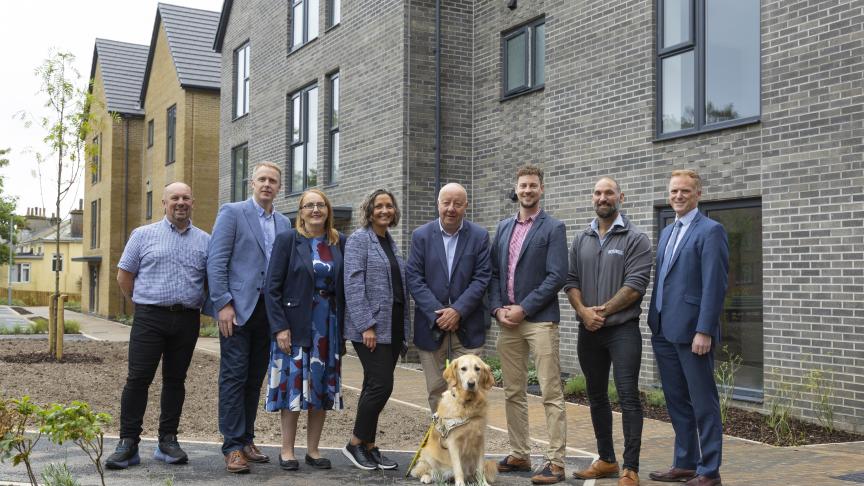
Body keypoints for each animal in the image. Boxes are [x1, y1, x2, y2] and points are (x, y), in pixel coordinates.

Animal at [412, 354, 500, 486]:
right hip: (427, 454)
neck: (467, 404)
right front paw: (460, 483)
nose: (471, 383)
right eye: (463, 369)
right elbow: (458, 468)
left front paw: (483, 483)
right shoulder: (453, 442)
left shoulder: (480, 441)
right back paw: (427, 477)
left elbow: (480, 468)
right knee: (426, 470)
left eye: (477, 369)